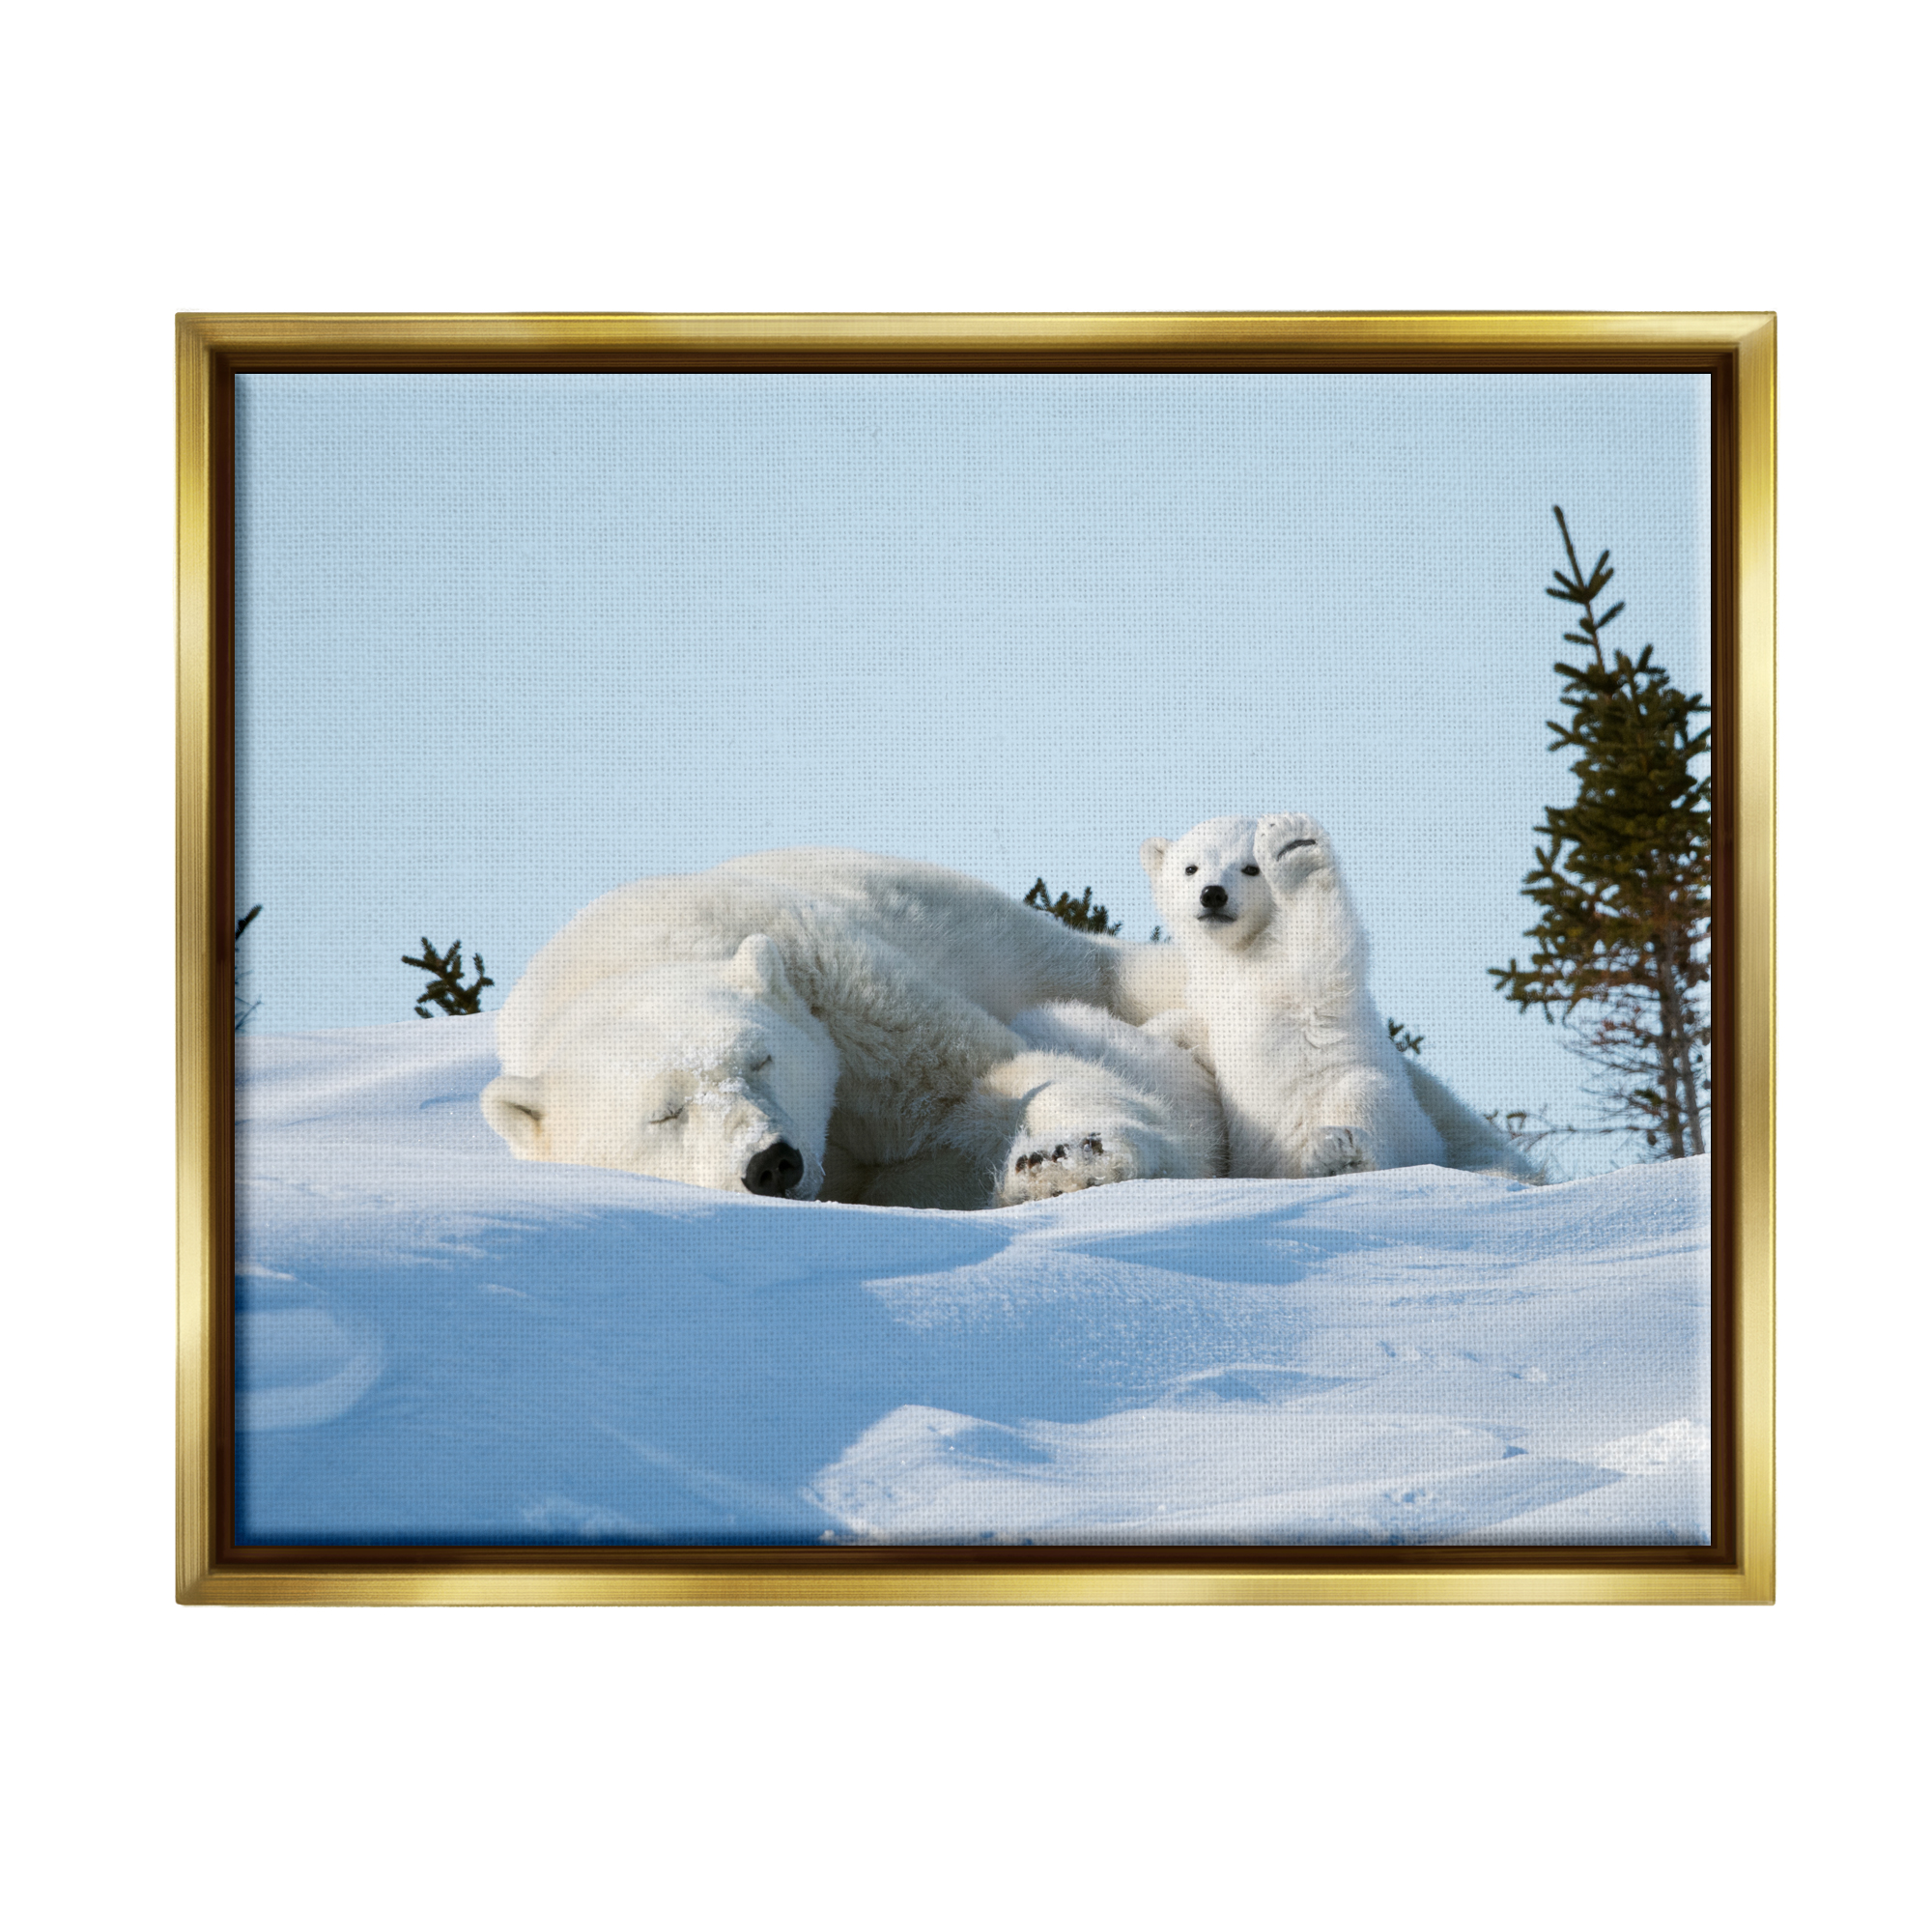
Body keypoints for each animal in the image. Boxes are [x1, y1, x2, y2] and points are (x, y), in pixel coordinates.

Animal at [481, 848, 1218, 1210]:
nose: (771, 1163)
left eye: (761, 1059)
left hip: (1020, 942)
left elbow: (984, 1078)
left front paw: (1072, 1159)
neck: (631, 957)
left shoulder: (835, 987)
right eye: (664, 1113)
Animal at [1140, 814, 1539, 1182]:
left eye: (1251, 868)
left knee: (1364, 1102)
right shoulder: (1209, 993)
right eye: (1190, 867)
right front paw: (1155, 1031)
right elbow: (1199, 1028)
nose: (1213, 894)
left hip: (1383, 1106)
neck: (1240, 952)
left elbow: (1320, 949)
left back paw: (1338, 1154)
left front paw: (1293, 848)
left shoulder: (1299, 977)